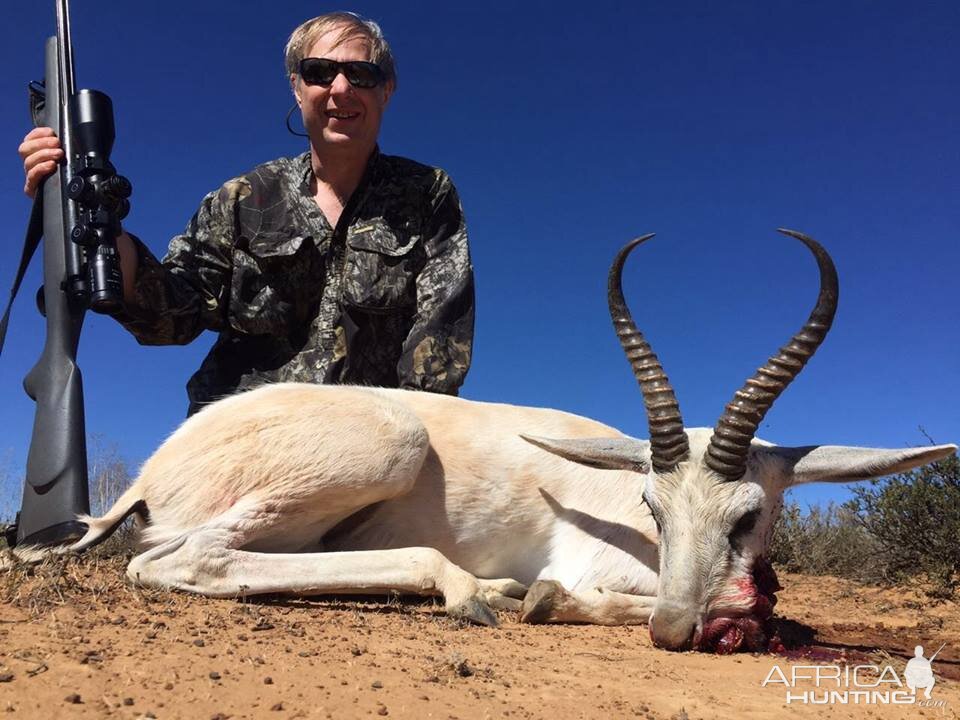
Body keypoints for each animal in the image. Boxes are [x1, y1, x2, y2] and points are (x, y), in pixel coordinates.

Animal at [30, 229, 960, 652]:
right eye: (653, 508)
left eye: (748, 516)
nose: (674, 630)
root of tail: (155, 469)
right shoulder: (604, 571)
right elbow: (598, 596)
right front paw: (545, 600)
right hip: (388, 447)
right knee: (184, 560)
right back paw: (478, 592)